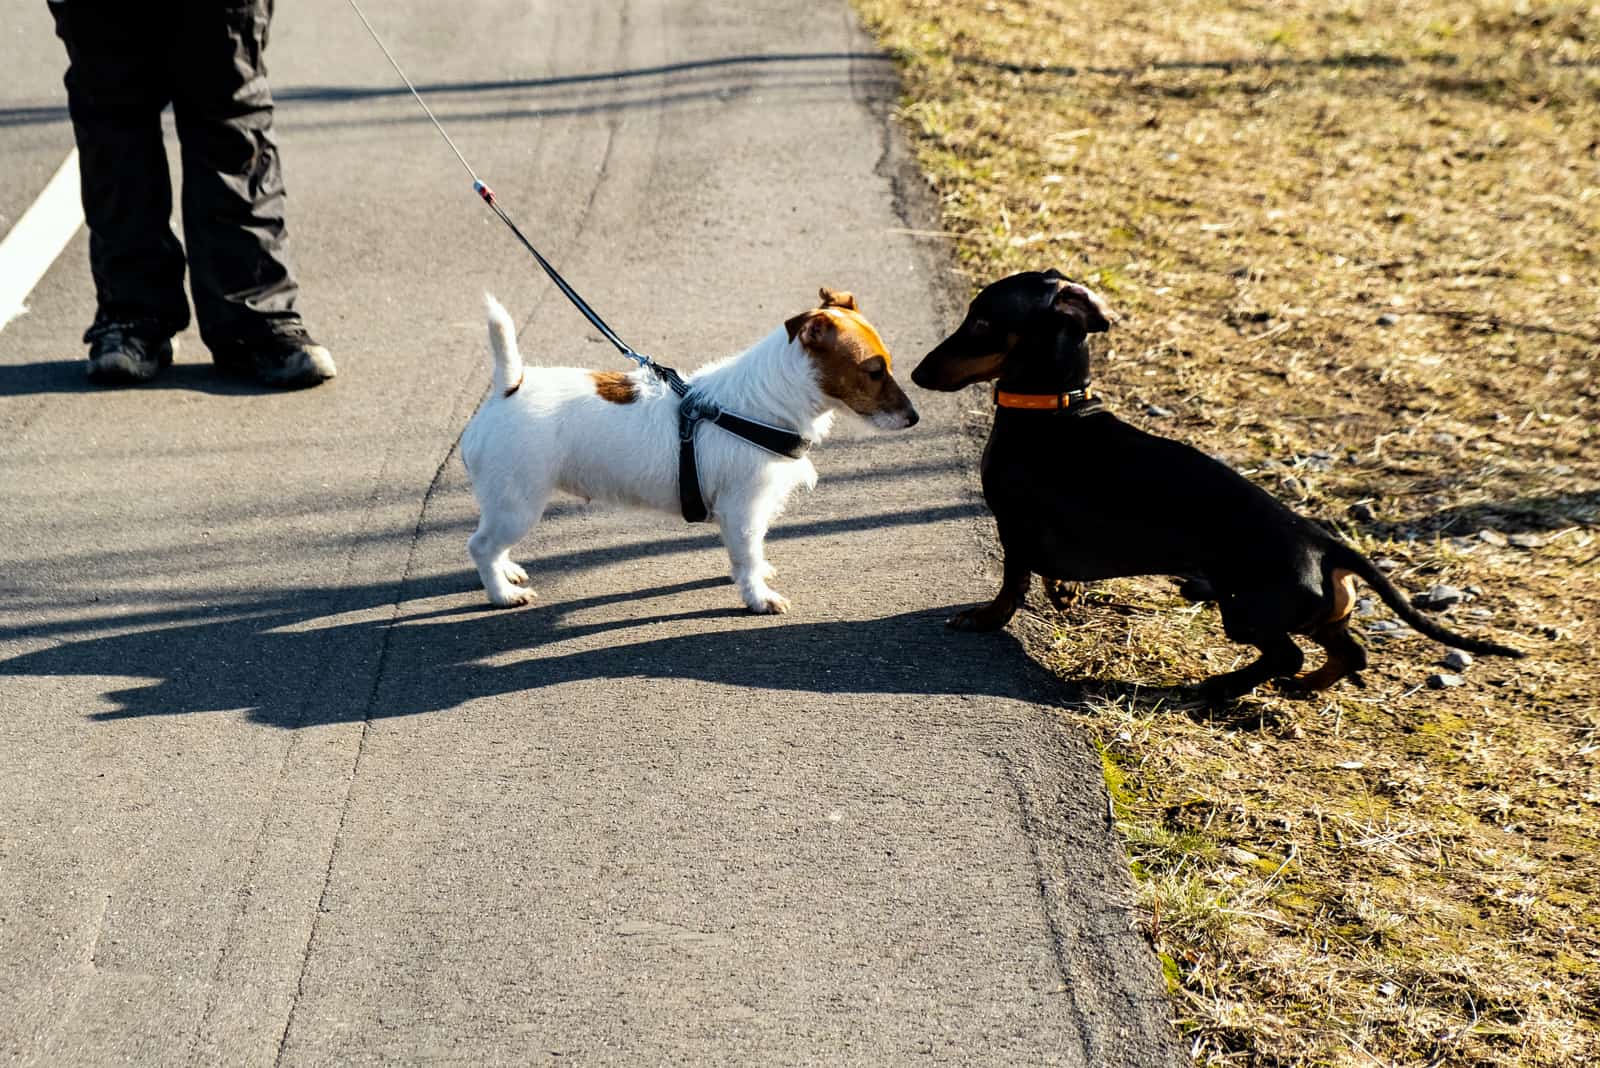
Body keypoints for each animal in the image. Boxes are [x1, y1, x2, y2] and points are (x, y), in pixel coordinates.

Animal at [457, 287, 921, 613]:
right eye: (873, 370)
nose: (915, 418)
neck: (769, 399)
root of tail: (510, 386)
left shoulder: (746, 512)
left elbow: (748, 552)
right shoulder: (744, 508)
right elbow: (747, 555)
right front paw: (758, 597)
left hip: (510, 503)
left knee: (492, 543)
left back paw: (507, 571)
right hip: (518, 503)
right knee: (480, 545)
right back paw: (501, 593)